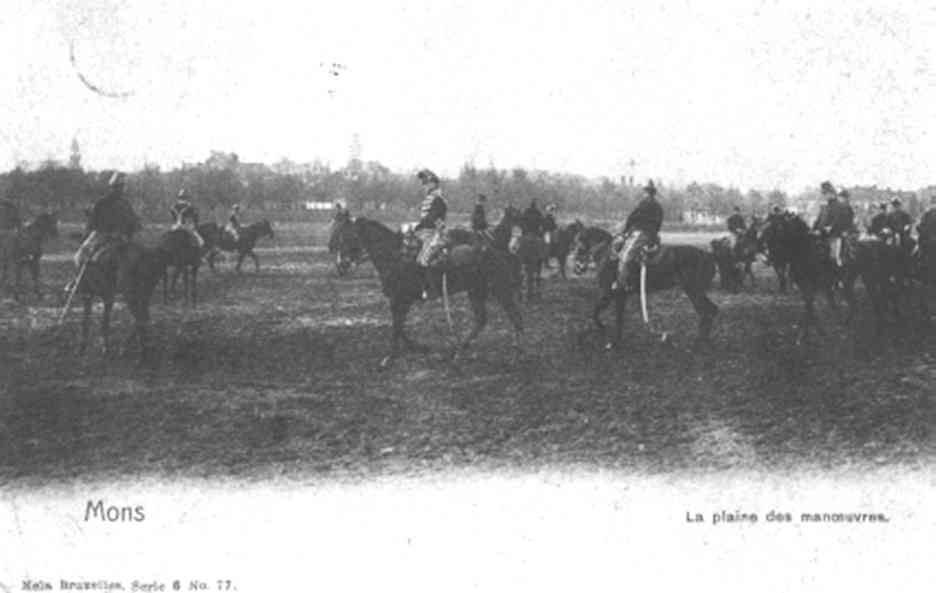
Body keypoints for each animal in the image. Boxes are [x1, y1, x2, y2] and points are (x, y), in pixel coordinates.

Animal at [330, 216, 524, 366]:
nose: (341, 266)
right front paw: (418, 348)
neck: (396, 256)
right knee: (481, 320)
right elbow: (399, 326)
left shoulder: (402, 299)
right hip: (476, 291)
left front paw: (391, 357)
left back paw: (517, 355)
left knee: (515, 317)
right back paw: (459, 352)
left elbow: (397, 326)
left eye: (349, 236)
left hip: (500, 289)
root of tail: (497, 250)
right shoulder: (398, 300)